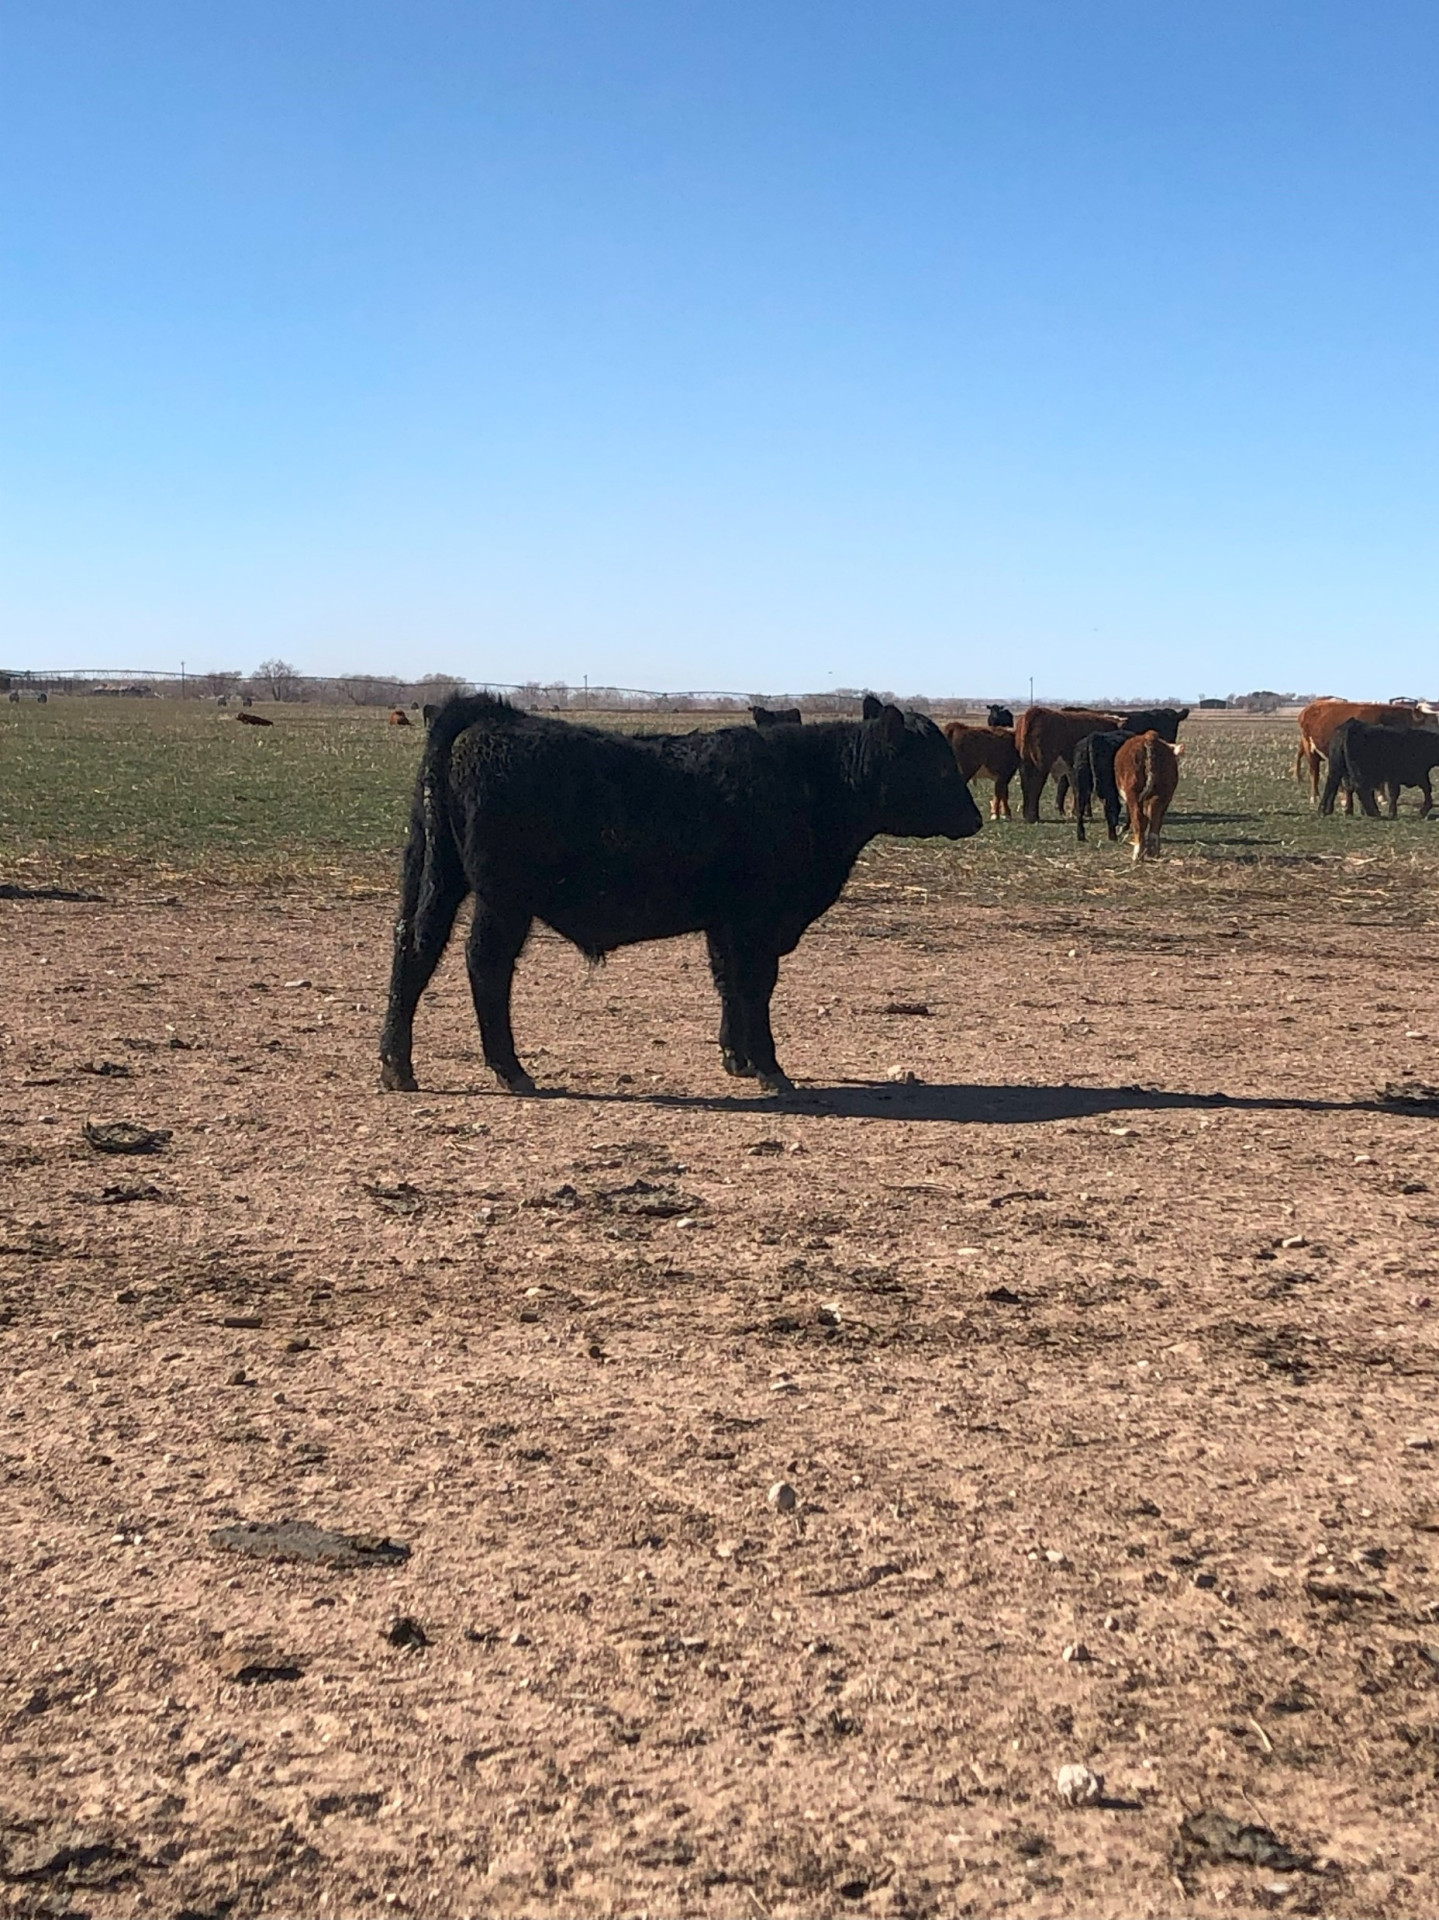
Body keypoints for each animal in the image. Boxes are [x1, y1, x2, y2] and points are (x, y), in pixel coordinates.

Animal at [376, 698, 983, 1105]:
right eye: (938, 766)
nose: (976, 819)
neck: (813, 784)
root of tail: (490, 715)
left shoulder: (725, 920)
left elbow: (728, 982)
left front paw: (736, 1058)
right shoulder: (757, 918)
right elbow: (754, 985)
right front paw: (770, 1068)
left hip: (437, 875)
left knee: (414, 950)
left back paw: (397, 1067)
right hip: (503, 899)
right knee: (485, 965)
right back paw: (511, 1070)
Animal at [1114, 725, 1175, 864]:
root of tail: (1149, 737)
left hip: (1134, 793)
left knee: (1139, 819)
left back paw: (1137, 854)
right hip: (1162, 794)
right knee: (1154, 819)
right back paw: (1153, 852)